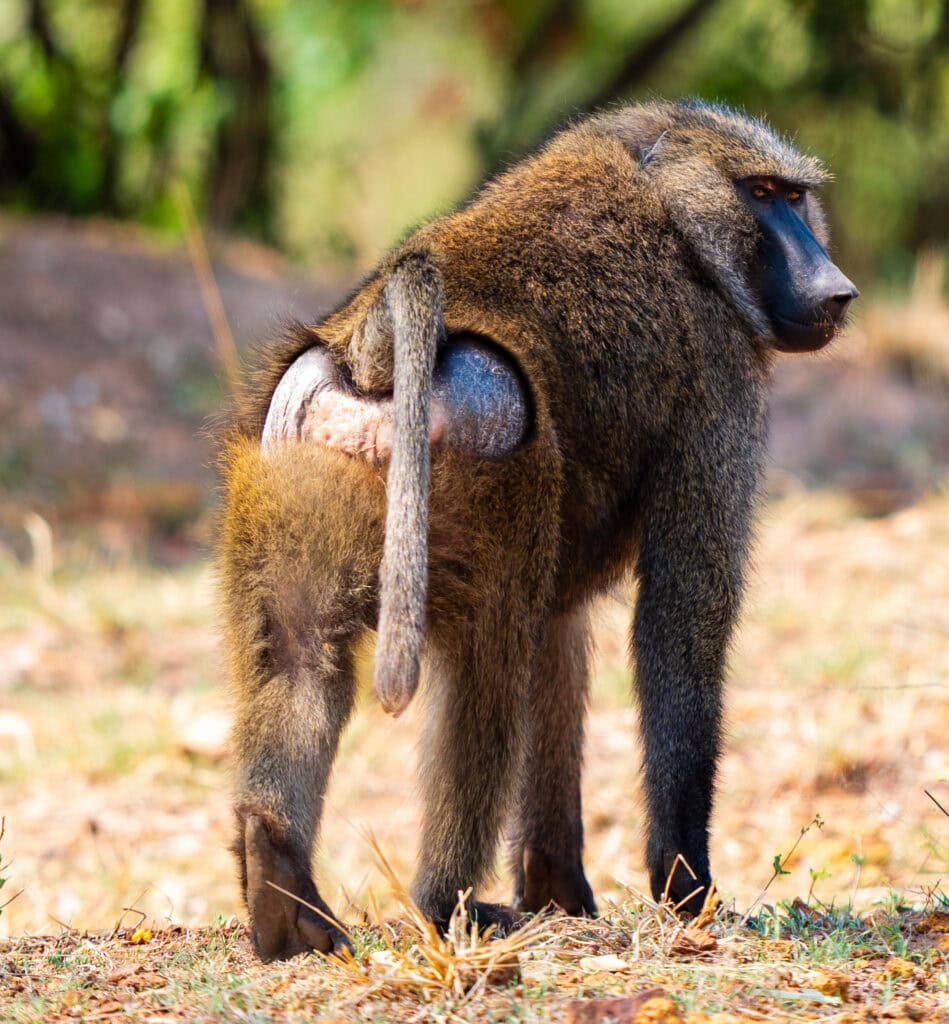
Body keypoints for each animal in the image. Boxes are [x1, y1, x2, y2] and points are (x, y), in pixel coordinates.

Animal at [218, 100, 857, 961]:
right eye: (761, 194)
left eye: (794, 196)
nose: (836, 290)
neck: (668, 200)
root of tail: (373, 351)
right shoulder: (720, 370)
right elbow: (680, 617)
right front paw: (685, 889)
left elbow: (558, 641)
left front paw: (560, 891)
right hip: (486, 472)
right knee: (487, 664)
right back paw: (446, 902)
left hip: (296, 479)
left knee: (298, 651)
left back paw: (280, 888)